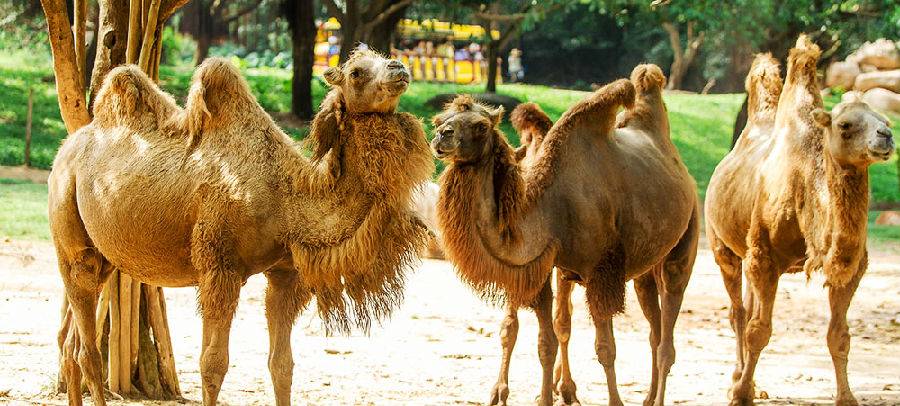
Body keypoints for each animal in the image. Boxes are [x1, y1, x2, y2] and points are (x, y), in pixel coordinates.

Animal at [45, 51, 432, 406]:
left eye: (383, 57)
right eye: (356, 71)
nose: (399, 67)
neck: (288, 200)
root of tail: (66, 147)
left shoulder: (285, 275)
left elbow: (282, 365)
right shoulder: (220, 267)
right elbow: (212, 364)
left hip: (104, 256)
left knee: (69, 342)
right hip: (70, 234)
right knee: (87, 349)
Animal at [432, 64, 700, 406]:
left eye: (480, 126)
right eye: (441, 119)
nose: (442, 135)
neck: (551, 207)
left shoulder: (600, 272)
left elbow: (605, 349)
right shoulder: (543, 266)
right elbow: (545, 342)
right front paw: (544, 397)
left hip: (684, 242)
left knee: (668, 335)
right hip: (644, 268)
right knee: (654, 331)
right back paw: (648, 397)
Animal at [712, 36, 892, 404]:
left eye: (885, 119)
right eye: (845, 125)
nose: (886, 135)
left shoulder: (852, 268)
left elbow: (839, 335)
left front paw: (847, 397)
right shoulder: (765, 256)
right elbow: (758, 331)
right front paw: (740, 394)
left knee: (747, 306)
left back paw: (752, 381)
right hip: (723, 246)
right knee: (738, 312)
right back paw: (738, 379)